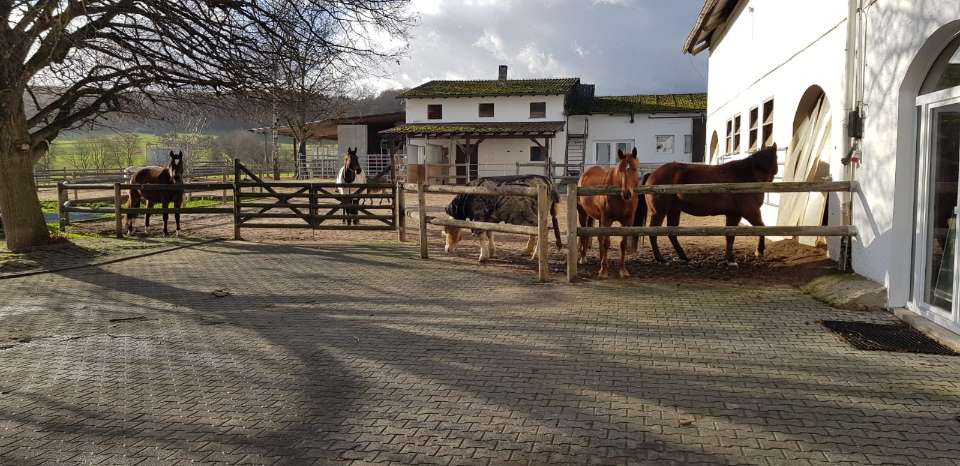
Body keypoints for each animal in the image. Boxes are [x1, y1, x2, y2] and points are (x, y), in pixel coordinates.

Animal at [576, 147, 641, 279]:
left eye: (634, 168)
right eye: (620, 170)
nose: (627, 194)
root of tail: (584, 174)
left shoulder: (627, 221)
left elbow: (623, 243)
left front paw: (623, 270)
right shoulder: (607, 219)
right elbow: (606, 242)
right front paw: (603, 271)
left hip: (598, 218)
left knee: (599, 237)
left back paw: (602, 259)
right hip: (583, 214)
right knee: (584, 234)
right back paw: (583, 258)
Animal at [636, 144, 779, 266]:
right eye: (776, 158)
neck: (747, 176)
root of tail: (653, 174)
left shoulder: (734, 214)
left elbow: (730, 236)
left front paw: (730, 259)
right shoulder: (750, 211)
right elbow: (761, 228)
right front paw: (759, 251)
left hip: (674, 211)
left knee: (672, 234)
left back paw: (683, 256)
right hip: (659, 212)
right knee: (653, 233)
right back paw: (660, 258)